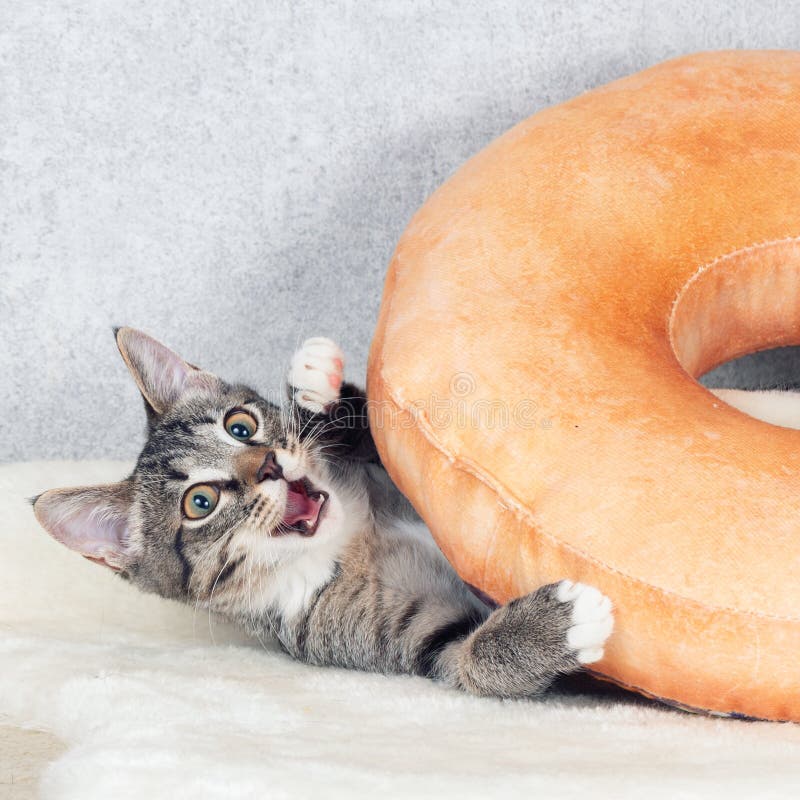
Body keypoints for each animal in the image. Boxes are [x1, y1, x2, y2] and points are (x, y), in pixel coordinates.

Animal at [34, 328, 612, 696]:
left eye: (240, 425)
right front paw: (556, 625)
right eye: (200, 503)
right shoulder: (391, 638)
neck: (351, 534)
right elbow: (464, 660)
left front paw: (314, 387)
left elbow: (373, 433)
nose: (269, 464)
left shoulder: (383, 471)